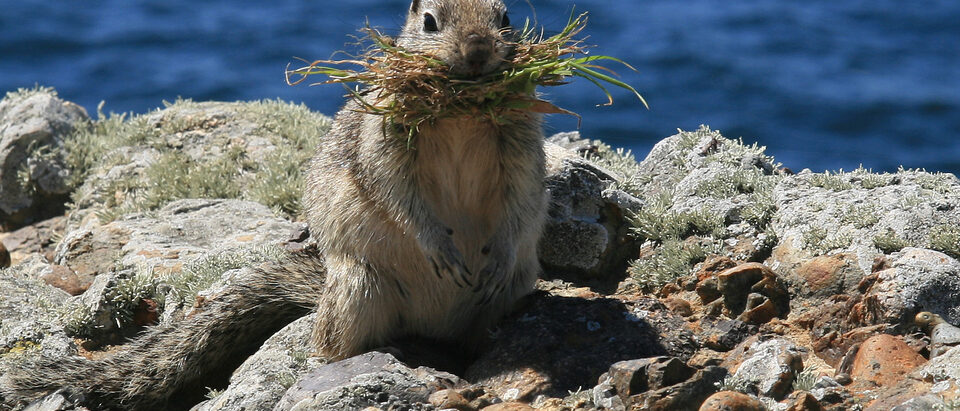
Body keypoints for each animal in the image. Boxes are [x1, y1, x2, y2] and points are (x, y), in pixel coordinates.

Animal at [1, 0, 546, 409]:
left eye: (505, 16)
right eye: (430, 20)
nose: (477, 50)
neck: (462, 110)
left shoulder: (522, 145)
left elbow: (523, 197)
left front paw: (493, 253)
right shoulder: (385, 138)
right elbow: (397, 193)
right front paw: (439, 248)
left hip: (511, 288)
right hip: (360, 288)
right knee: (328, 347)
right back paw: (384, 354)